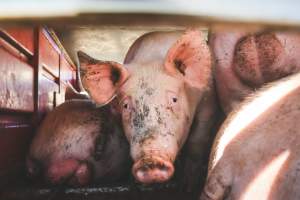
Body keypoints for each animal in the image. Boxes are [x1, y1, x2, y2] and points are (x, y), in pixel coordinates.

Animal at [78, 29, 218, 191]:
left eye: (174, 99)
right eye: (125, 106)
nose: (151, 160)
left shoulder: (208, 104)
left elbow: (197, 142)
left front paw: (188, 187)